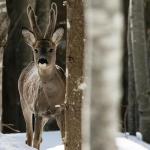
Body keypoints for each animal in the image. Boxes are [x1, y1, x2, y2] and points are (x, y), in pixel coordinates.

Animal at [18, 2, 65, 149]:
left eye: (51, 49)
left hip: (44, 116)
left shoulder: (61, 110)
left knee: (38, 138)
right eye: (36, 49)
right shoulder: (38, 111)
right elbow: (36, 139)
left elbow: (64, 137)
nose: (42, 60)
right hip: (24, 103)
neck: (52, 98)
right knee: (30, 136)